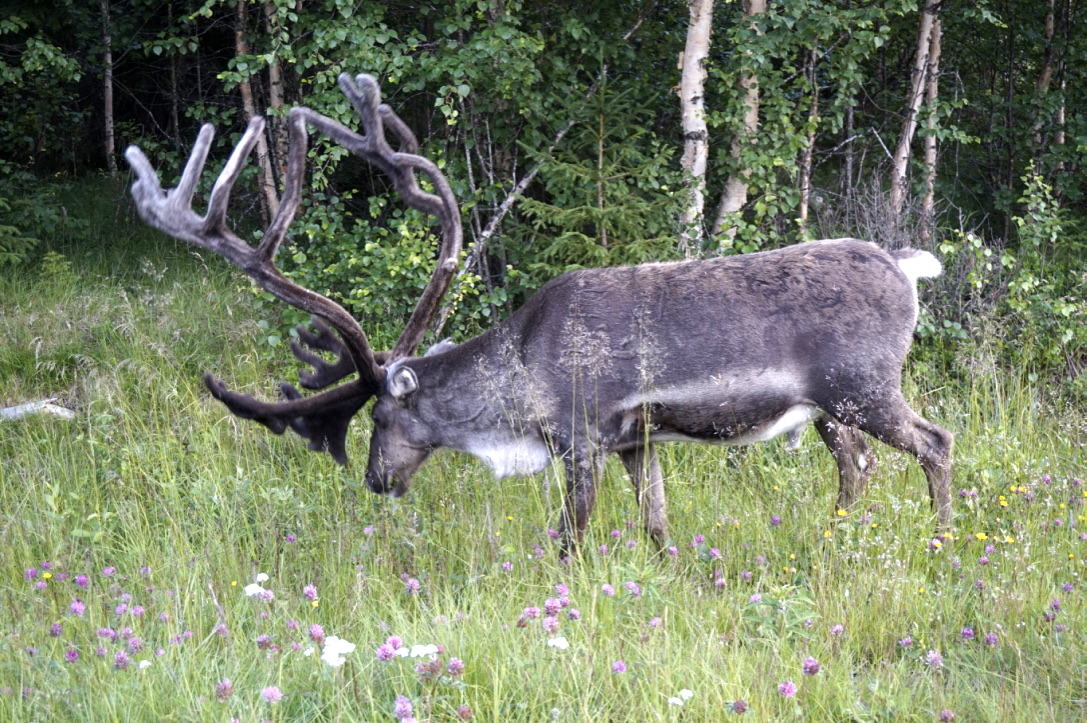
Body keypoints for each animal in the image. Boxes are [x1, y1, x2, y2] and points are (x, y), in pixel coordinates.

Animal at [125, 73, 953, 555]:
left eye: (383, 418)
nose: (375, 480)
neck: (517, 388)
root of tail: (905, 265)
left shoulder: (581, 435)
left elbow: (570, 539)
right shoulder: (635, 439)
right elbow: (657, 525)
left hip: (863, 386)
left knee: (934, 441)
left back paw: (942, 544)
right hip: (828, 407)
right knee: (858, 463)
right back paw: (836, 538)